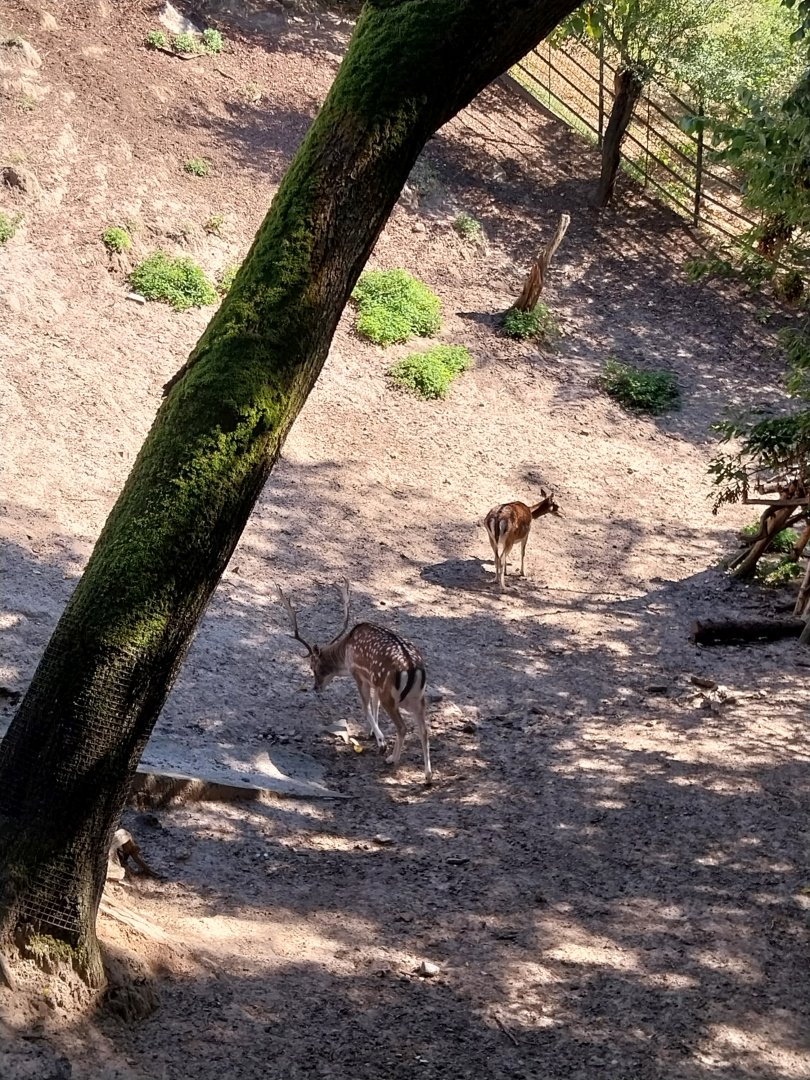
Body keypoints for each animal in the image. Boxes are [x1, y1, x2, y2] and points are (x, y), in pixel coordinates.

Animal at [276, 579, 432, 784]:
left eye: (313, 666)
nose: (315, 687)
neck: (345, 652)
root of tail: (414, 668)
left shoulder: (359, 674)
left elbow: (366, 707)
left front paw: (381, 742)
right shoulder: (373, 681)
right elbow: (374, 704)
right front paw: (372, 733)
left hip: (390, 694)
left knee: (403, 727)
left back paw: (392, 758)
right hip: (417, 698)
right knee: (424, 730)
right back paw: (428, 776)